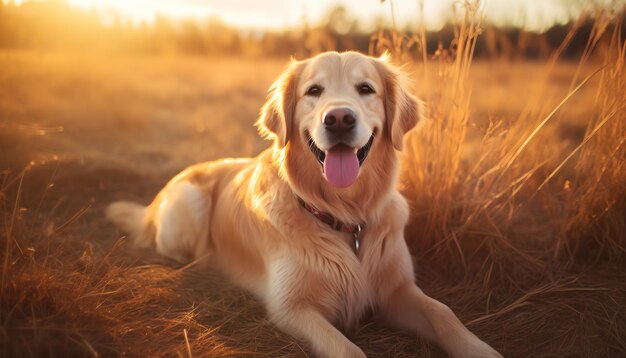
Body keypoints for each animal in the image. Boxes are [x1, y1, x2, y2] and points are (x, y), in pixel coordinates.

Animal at [106, 51, 498, 358]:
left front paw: (480, 349)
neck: (345, 216)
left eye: (365, 89)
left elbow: (444, 313)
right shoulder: (291, 307)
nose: (339, 119)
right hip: (189, 204)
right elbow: (348, 350)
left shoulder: (396, 289)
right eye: (314, 91)